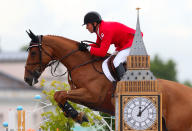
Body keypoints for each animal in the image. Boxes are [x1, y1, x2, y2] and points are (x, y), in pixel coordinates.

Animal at [24, 30, 192, 130]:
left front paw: (77, 115)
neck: (83, 64)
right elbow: (59, 96)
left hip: (178, 126)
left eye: (33, 53)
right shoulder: (82, 95)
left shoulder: (91, 96)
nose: (27, 78)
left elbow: (59, 94)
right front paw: (74, 114)